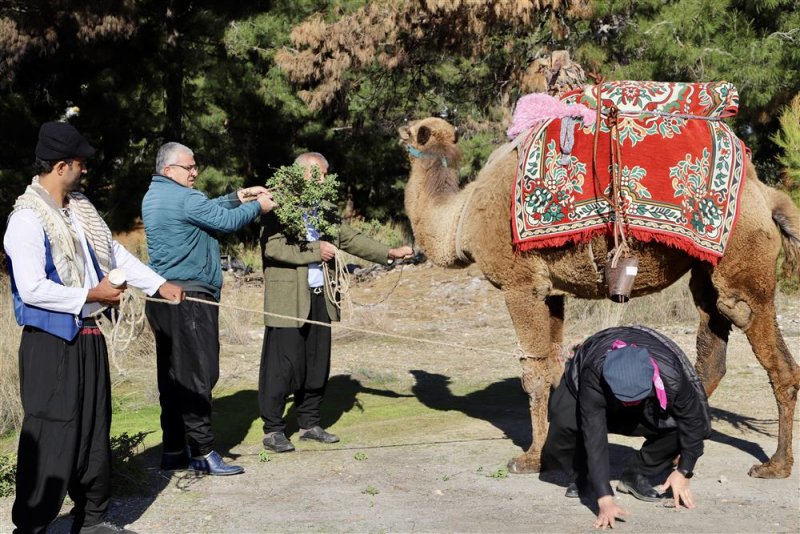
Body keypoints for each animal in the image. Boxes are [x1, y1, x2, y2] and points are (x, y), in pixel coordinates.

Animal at [400, 115, 800, 480]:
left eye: (412, 128)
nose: (397, 130)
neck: (460, 219)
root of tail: (767, 196)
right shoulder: (552, 292)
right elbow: (553, 368)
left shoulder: (520, 284)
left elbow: (533, 372)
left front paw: (530, 459)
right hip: (706, 270)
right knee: (711, 353)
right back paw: (675, 457)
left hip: (743, 263)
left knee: (766, 344)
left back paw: (774, 465)